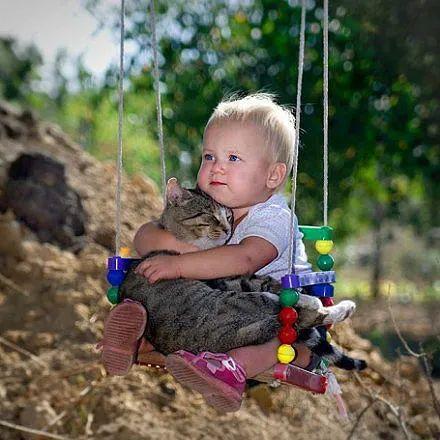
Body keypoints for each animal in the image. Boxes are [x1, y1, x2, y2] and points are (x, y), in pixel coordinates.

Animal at [118, 179, 366, 372]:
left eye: (228, 216)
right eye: (209, 216)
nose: (228, 229)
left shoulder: (234, 277)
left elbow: (270, 282)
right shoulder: (232, 280)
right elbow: (270, 285)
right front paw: (305, 297)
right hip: (235, 301)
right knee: (296, 313)